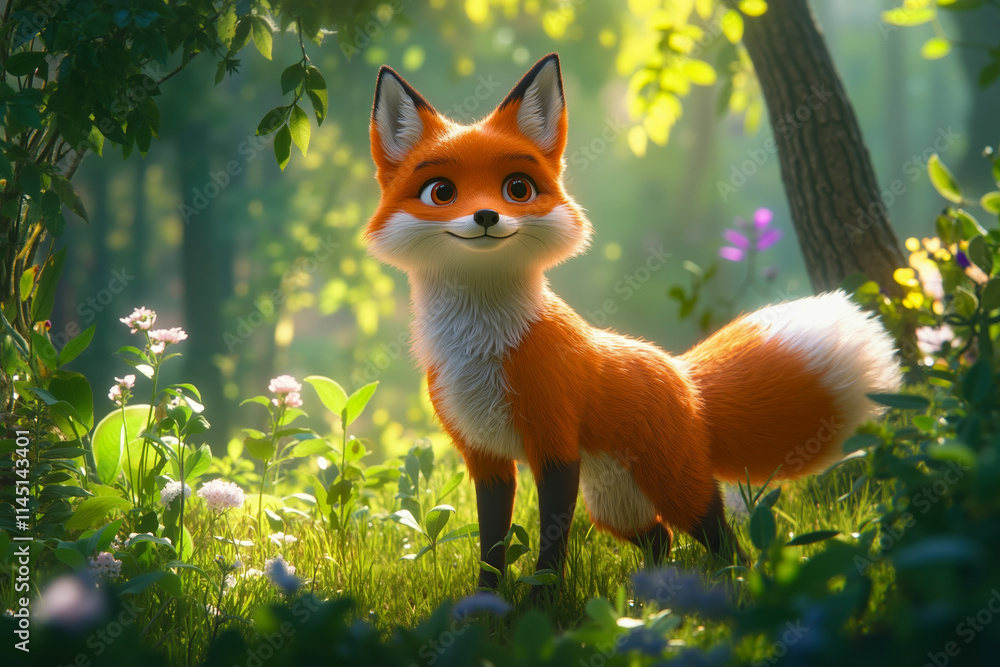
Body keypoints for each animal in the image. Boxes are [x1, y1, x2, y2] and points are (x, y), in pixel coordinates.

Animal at [364, 53, 901, 593]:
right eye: (441, 192)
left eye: (518, 188)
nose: (486, 216)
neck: (479, 346)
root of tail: (686, 379)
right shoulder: (484, 455)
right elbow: (491, 546)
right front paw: (484, 605)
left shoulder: (555, 446)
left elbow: (550, 545)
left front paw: (543, 600)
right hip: (615, 503)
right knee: (659, 538)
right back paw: (646, 599)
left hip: (674, 486)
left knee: (723, 541)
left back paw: (731, 590)